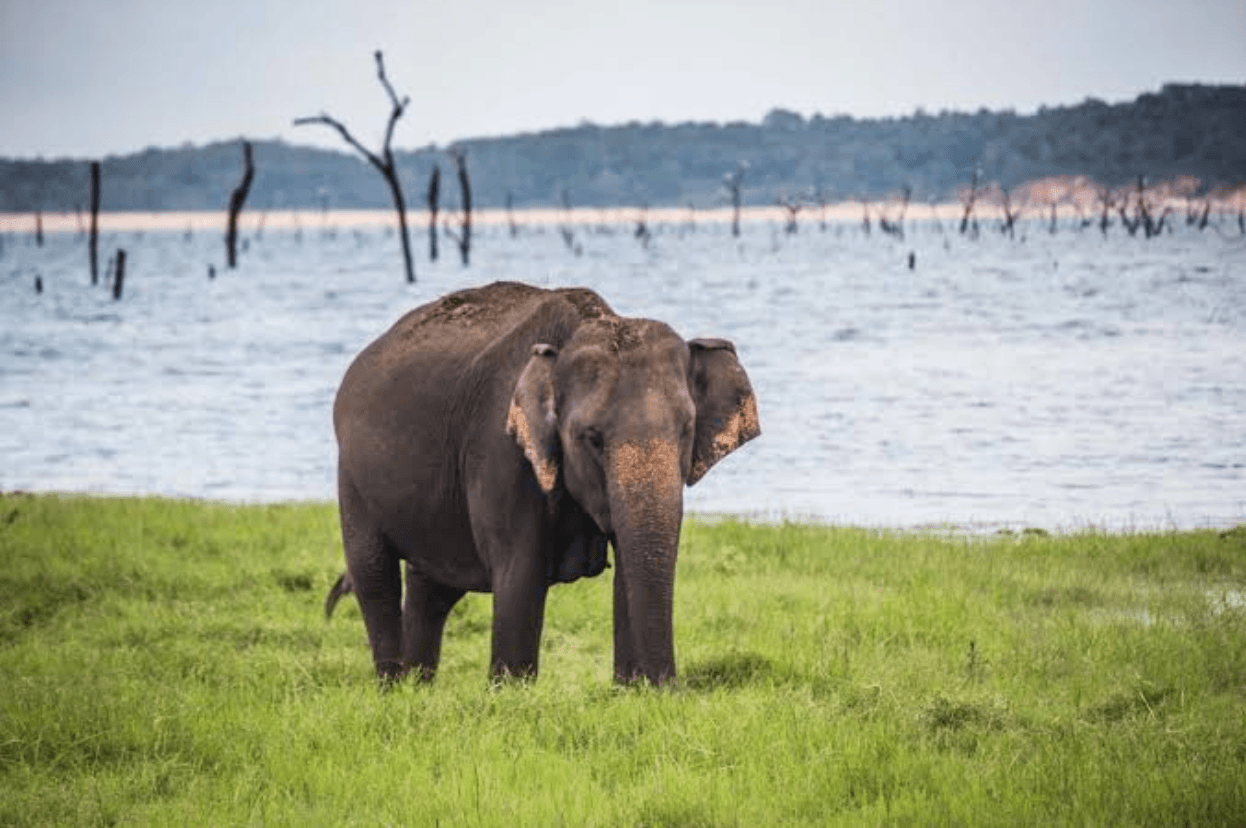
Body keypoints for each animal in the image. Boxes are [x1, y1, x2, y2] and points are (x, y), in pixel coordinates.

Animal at [326, 281, 759, 686]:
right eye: (592, 437)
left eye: (686, 429)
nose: (666, 688)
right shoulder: (501, 451)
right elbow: (520, 574)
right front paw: (511, 693)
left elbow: (628, 569)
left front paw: (628, 691)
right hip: (350, 476)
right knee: (374, 577)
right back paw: (393, 687)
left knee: (430, 588)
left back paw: (417, 688)